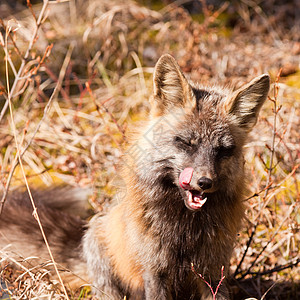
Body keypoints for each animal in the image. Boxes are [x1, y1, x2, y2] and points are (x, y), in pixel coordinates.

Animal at [0, 54, 270, 300]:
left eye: (224, 150)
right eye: (185, 143)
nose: (205, 183)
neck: (184, 232)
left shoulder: (213, 271)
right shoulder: (154, 271)